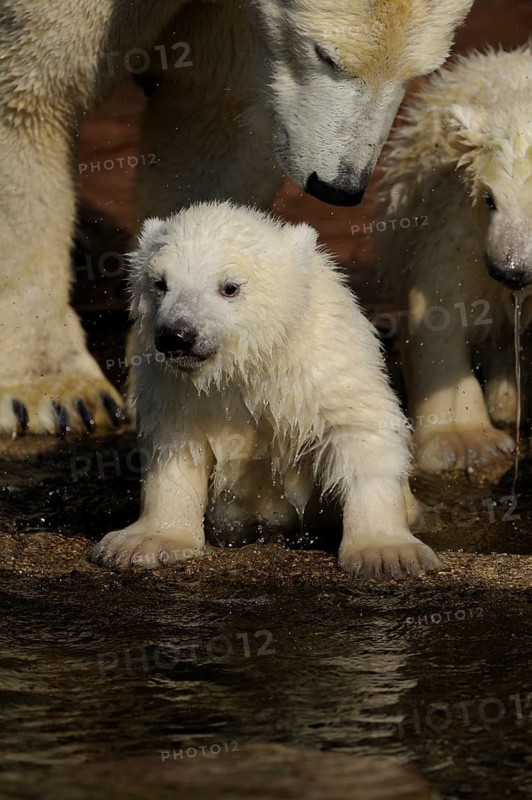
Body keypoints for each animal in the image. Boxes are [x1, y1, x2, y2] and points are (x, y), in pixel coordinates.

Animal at [0, 0, 473, 437]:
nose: (338, 187)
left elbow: (216, 118)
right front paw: (58, 393)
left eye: (422, 71)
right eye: (325, 55)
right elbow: (31, 97)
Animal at [90, 201, 442, 579]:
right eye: (160, 283)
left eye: (230, 287)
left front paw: (387, 552)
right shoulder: (180, 389)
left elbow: (361, 430)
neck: (250, 363)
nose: (178, 335)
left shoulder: (321, 361)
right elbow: (175, 447)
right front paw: (144, 542)